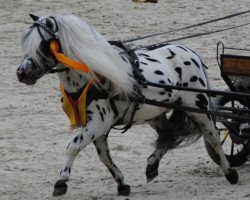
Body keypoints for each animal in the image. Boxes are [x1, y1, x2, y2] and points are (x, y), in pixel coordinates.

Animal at [15, 14, 238, 196]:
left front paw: (61, 181)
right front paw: (122, 183)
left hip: (198, 107)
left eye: (42, 45)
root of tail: (191, 53)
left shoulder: (99, 122)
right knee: (168, 135)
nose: (21, 73)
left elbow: (73, 146)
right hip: (155, 113)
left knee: (213, 136)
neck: (91, 76)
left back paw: (230, 172)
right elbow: (104, 156)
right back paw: (152, 166)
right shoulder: (96, 125)